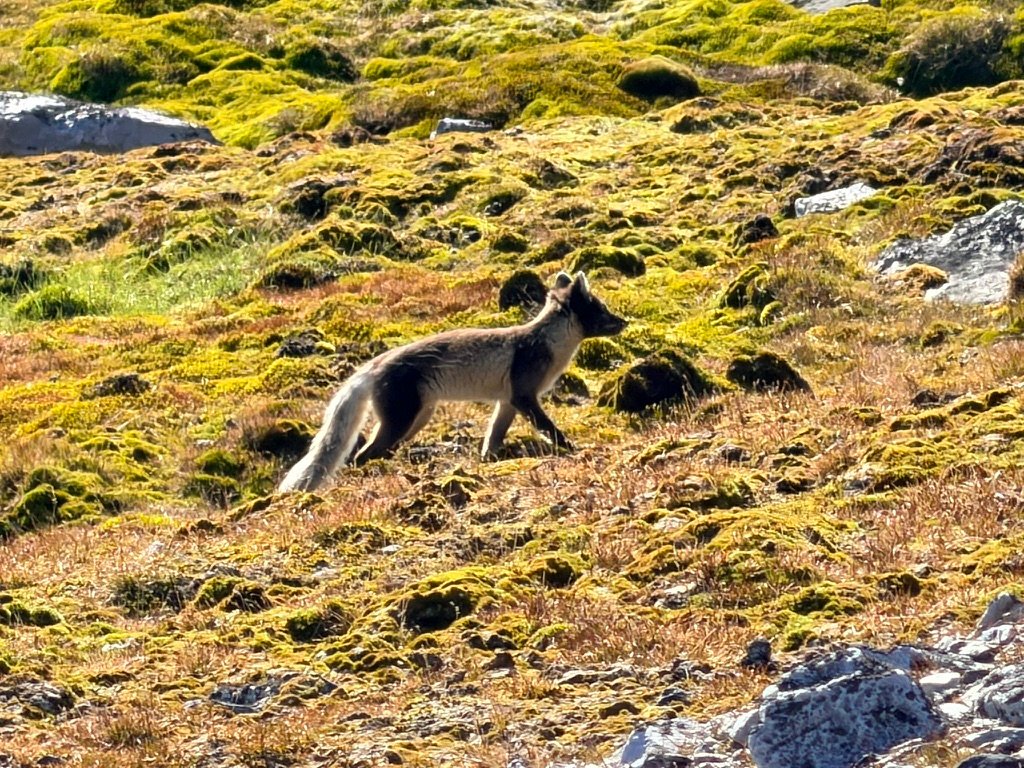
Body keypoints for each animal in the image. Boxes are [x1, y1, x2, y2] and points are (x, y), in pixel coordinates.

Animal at [278, 271, 627, 492]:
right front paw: (573, 449)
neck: (547, 343)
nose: (625, 321)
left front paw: (487, 461)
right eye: (601, 309)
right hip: (402, 420)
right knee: (360, 455)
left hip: (417, 419)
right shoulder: (525, 396)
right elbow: (551, 430)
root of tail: (374, 365)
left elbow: (493, 437)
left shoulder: (507, 402)